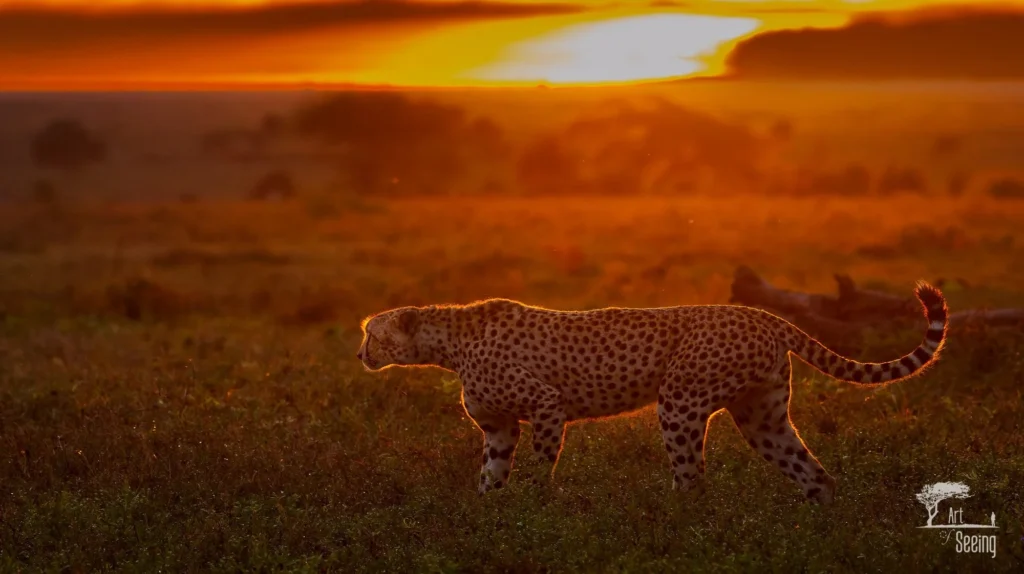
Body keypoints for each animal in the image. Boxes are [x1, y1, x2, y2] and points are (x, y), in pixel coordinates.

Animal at [356, 282, 947, 504]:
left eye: (371, 333)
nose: (360, 355)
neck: (449, 341)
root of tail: (761, 312)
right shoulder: (499, 428)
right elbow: (489, 477)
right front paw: (488, 519)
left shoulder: (547, 407)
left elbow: (537, 468)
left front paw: (535, 508)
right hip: (762, 416)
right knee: (814, 473)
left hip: (680, 402)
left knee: (693, 478)